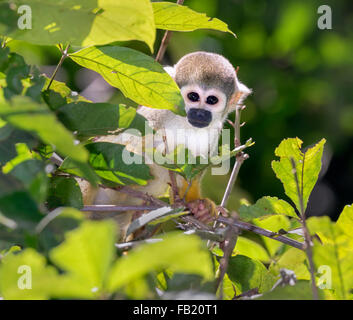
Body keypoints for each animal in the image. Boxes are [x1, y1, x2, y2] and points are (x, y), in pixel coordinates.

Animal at [79, 51, 250, 239]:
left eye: (212, 100)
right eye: (193, 97)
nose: (200, 113)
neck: (184, 122)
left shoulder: (214, 131)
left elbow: (194, 169)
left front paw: (198, 207)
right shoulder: (158, 111)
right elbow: (132, 139)